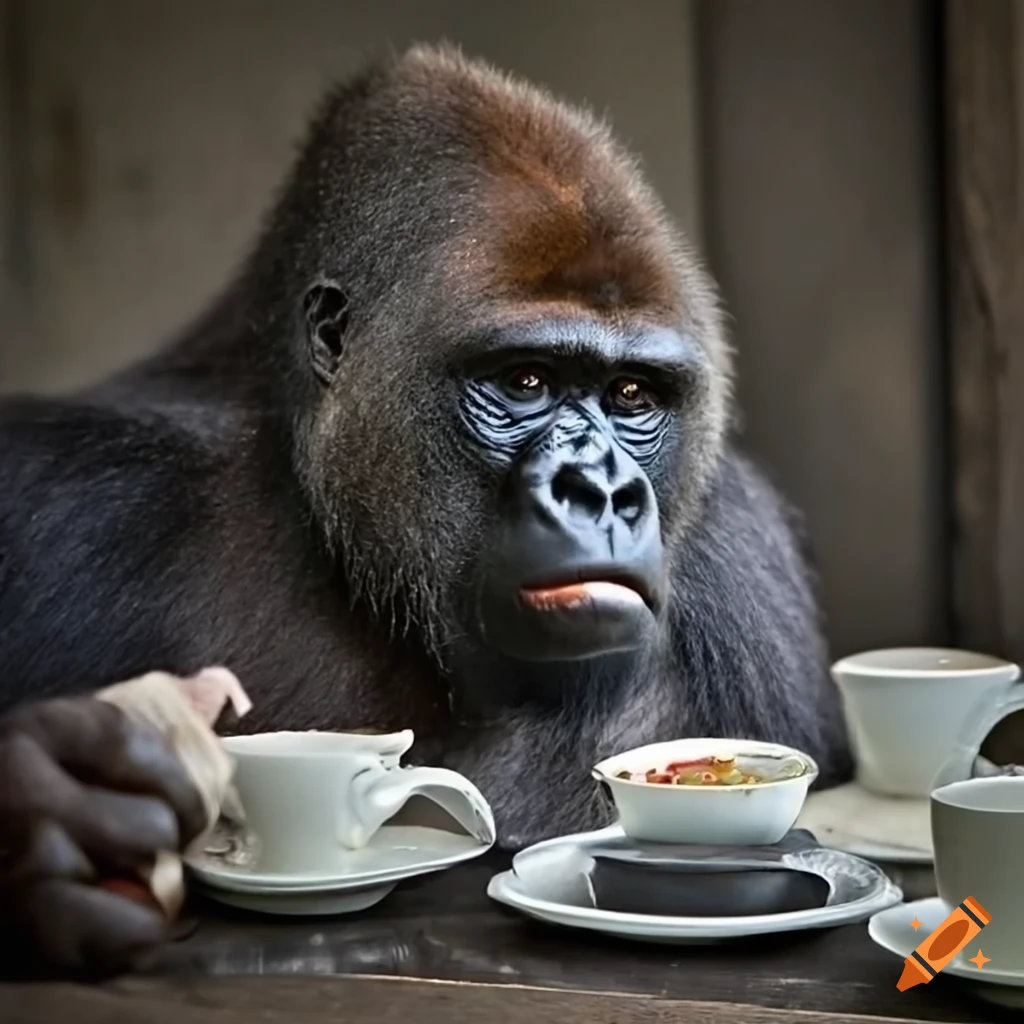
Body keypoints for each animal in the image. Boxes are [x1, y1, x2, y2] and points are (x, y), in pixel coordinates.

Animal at [0, 44, 853, 974]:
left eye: (632, 394)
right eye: (525, 381)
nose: (602, 491)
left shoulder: (746, 564)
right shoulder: (72, 494)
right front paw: (51, 807)